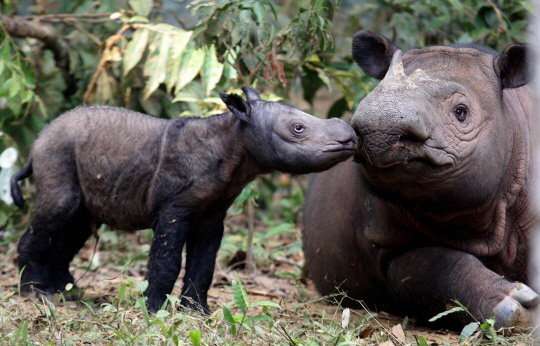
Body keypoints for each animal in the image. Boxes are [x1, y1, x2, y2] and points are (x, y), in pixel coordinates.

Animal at [10, 86, 356, 314]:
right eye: (298, 128)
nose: (350, 138)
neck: (235, 138)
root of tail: (36, 143)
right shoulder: (174, 208)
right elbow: (166, 261)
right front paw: (154, 312)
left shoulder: (213, 215)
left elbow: (204, 266)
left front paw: (198, 313)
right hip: (56, 149)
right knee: (62, 208)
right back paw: (36, 295)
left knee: (77, 223)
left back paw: (66, 292)